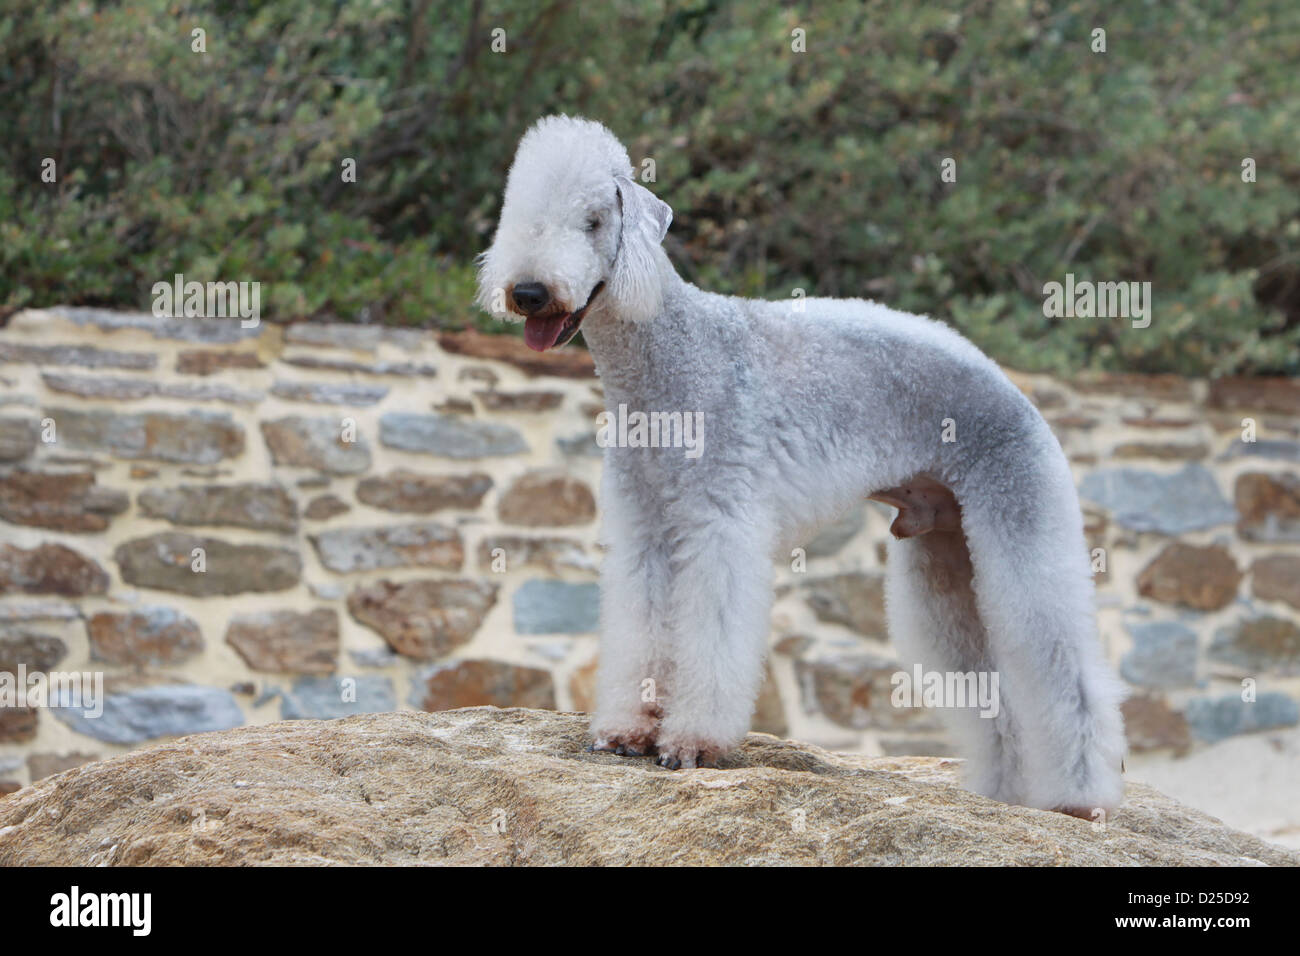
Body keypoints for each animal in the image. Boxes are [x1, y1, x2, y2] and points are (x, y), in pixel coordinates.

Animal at [478, 111, 1128, 816]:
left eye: (594, 221)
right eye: (520, 216)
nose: (529, 291)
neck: (668, 352)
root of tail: (1014, 388)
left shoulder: (719, 526)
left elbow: (712, 634)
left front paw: (692, 746)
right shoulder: (644, 529)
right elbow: (638, 630)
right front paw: (626, 733)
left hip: (1020, 524)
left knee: (1068, 674)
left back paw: (1079, 801)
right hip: (946, 555)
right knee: (994, 692)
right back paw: (1000, 798)